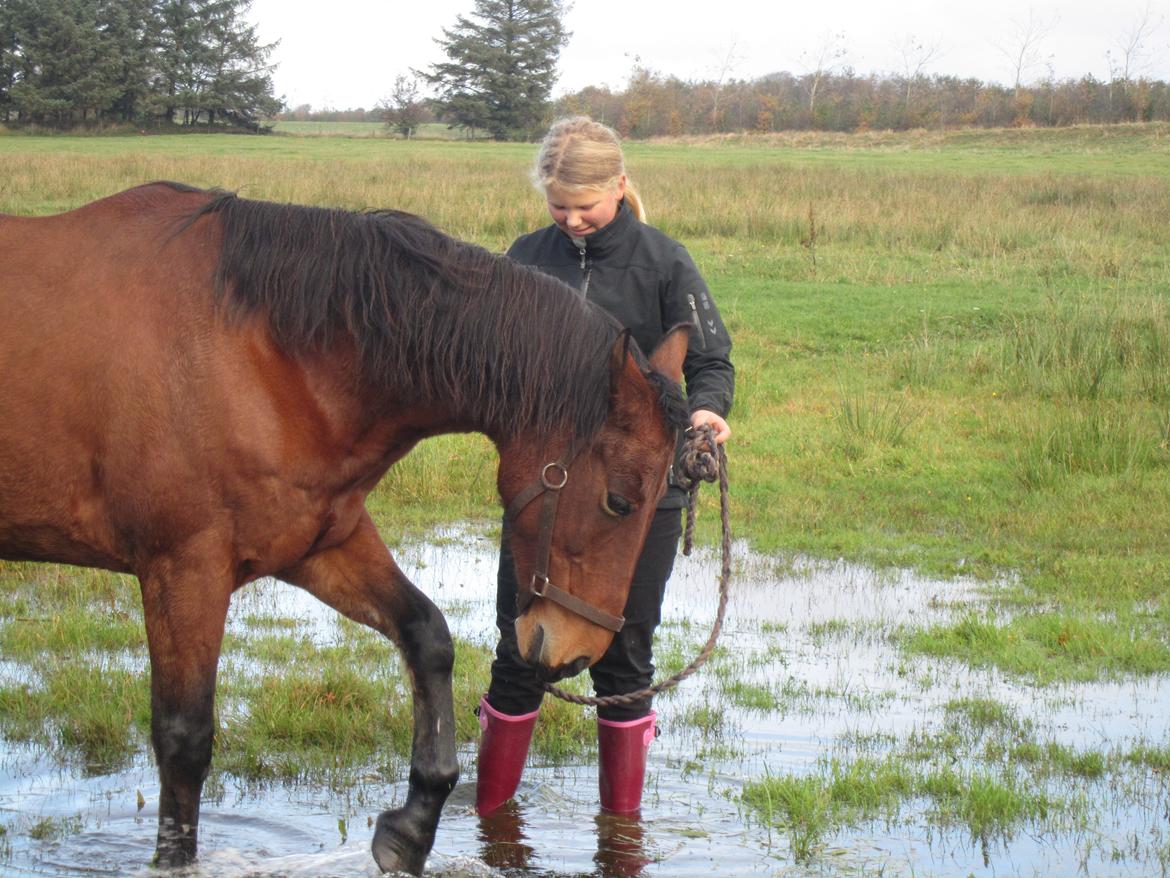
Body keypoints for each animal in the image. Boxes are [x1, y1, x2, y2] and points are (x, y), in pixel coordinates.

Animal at [0, 182, 692, 875]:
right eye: (619, 502)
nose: (578, 650)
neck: (256, 349)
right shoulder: (183, 569)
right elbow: (183, 738)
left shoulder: (321, 545)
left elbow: (427, 637)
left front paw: (412, 825)